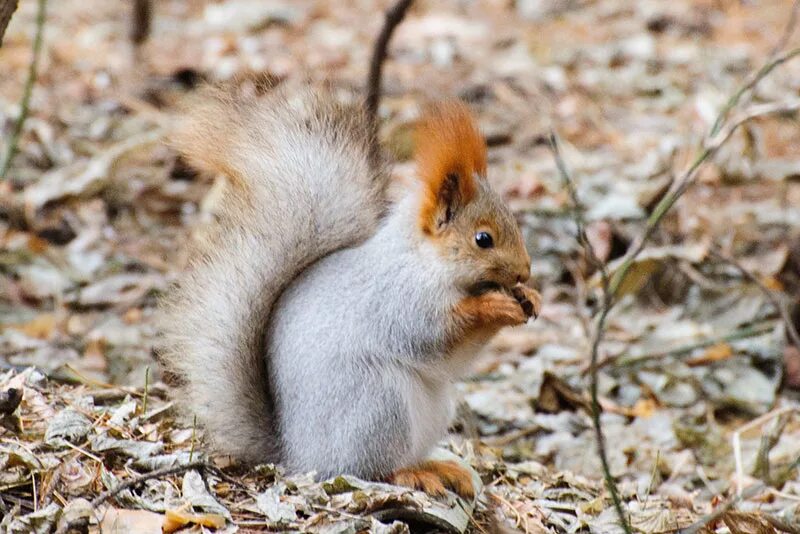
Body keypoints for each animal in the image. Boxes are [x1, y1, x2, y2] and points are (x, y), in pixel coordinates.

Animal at [159, 84, 540, 502]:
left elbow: (454, 363)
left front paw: (530, 298)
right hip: (378, 405)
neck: (423, 260)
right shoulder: (398, 301)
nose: (525, 271)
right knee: (371, 468)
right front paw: (494, 306)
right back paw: (413, 475)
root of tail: (296, 454)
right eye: (483, 239)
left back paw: (440, 467)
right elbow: (434, 339)